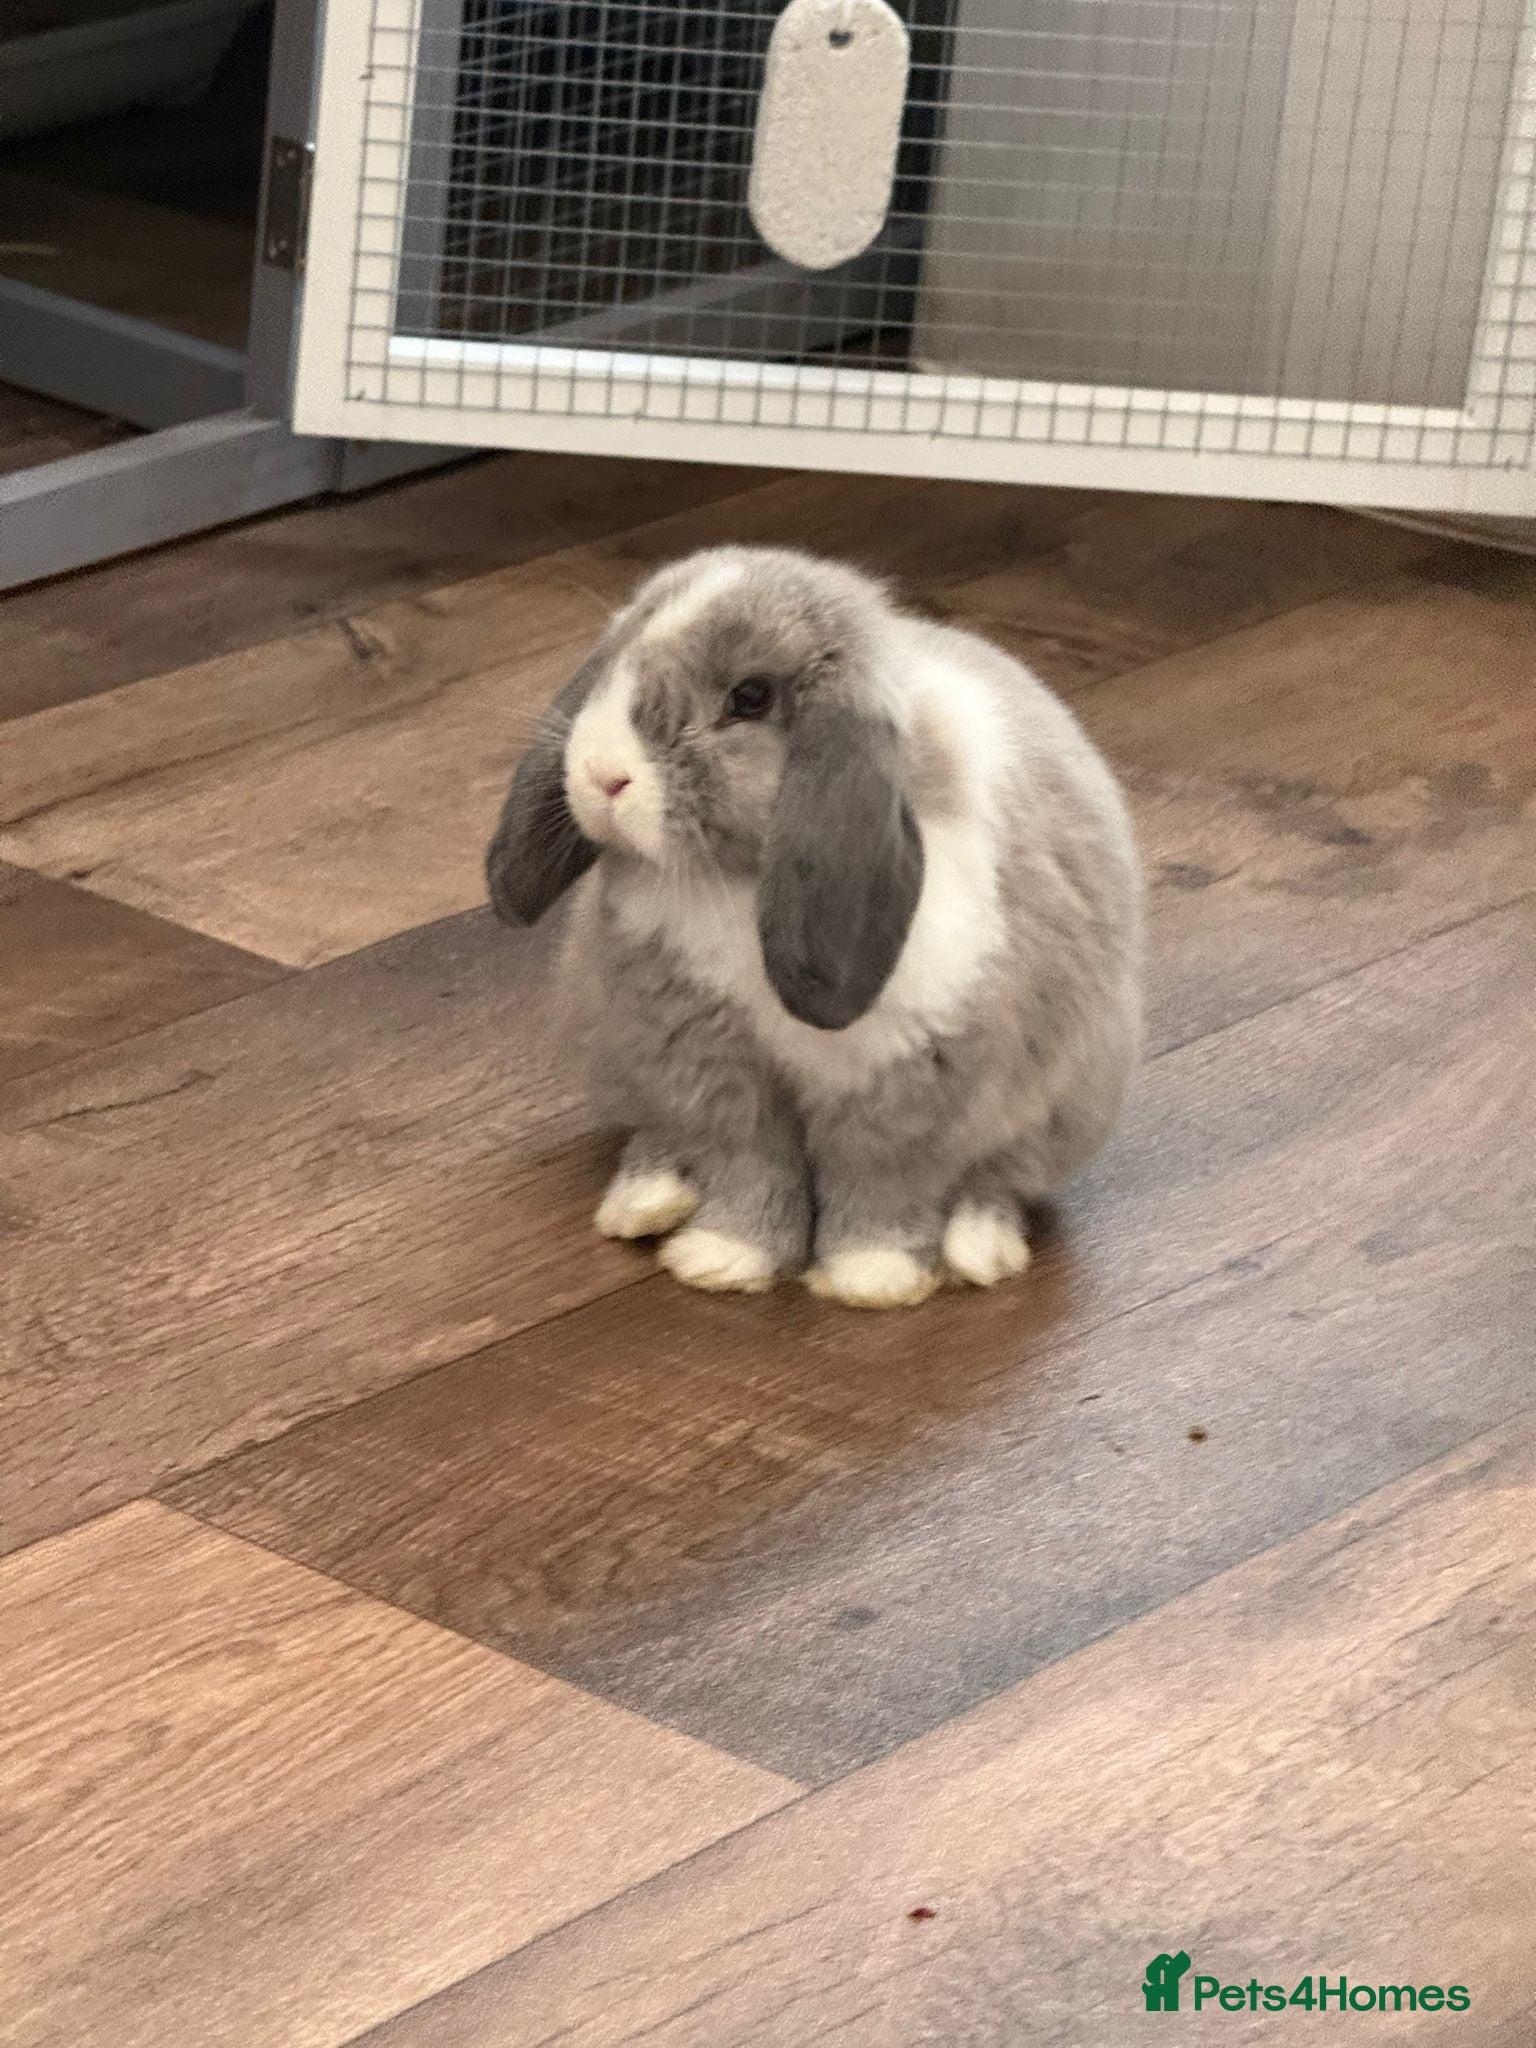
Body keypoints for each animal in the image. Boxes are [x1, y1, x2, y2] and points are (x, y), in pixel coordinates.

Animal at [486, 545, 1143, 1309]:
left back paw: (981, 1248)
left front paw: (872, 1279)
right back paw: (643, 1202)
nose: (601, 775)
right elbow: (749, 1165)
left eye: (750, 698)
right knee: (657, 1135)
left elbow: (882, 1186)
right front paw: (721, 1260)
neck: (739, 882)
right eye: (617, 659)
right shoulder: (710, 1067)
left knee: (997, 1180)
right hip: (613, 1051)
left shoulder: (906, 1089)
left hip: (1065, 1105)